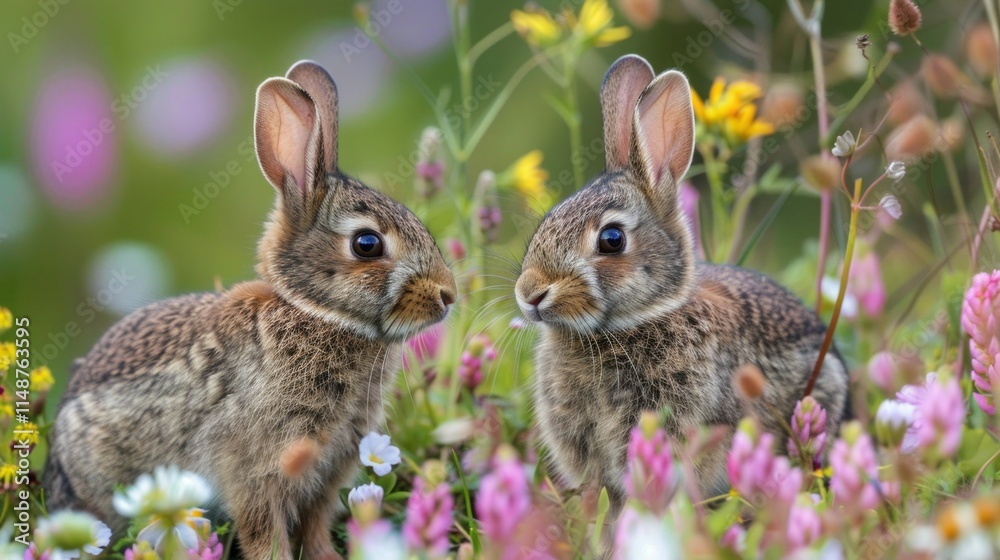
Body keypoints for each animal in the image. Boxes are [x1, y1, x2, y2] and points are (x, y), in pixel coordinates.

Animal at [42, 60, 457, 560]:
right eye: (367, 243)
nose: (448, 295)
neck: (315, 313)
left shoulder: (332, 466)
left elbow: (316, 525)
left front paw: (330, 556)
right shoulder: (259, 469)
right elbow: (264, 530)